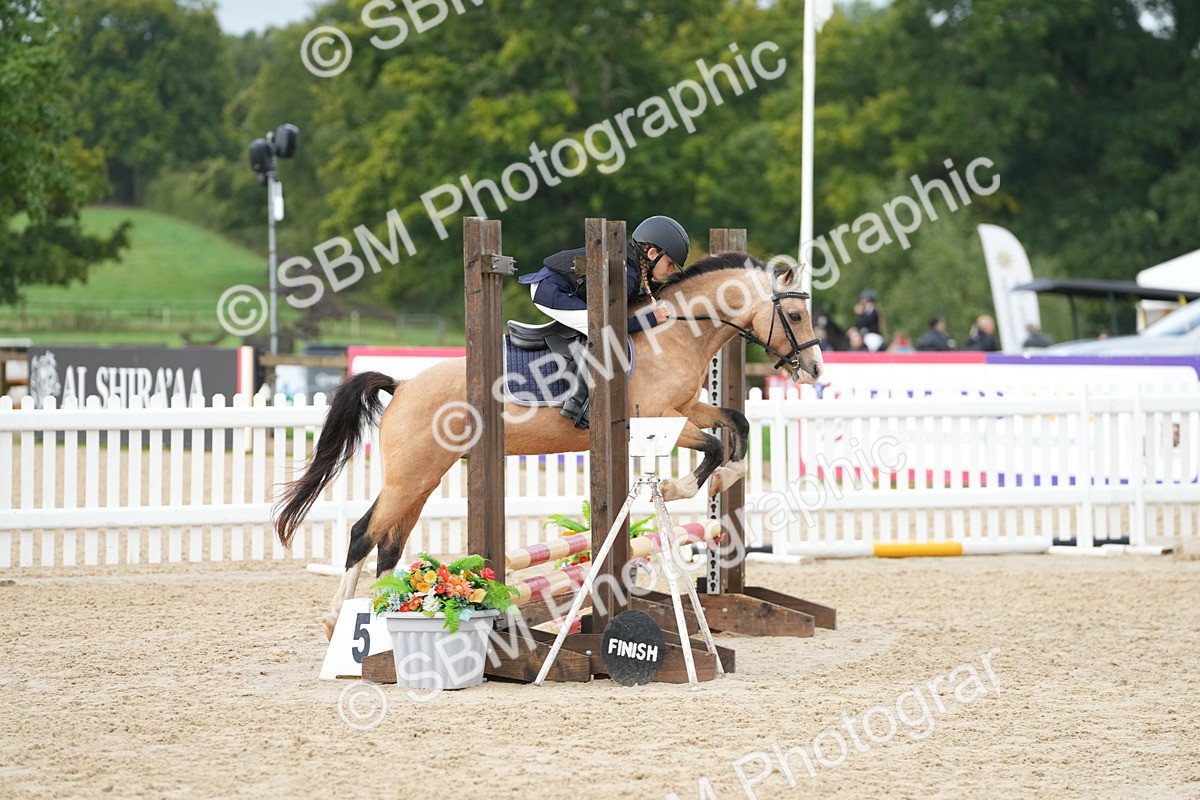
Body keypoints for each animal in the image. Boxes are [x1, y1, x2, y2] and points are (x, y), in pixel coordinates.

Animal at [273, 252, 824, 637]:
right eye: (796, 316)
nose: (816, 370)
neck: (674, 333)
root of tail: (402, 384)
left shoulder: (686, 410)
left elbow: (735, 426)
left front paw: (721, 480)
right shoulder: (655, 419)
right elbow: (713, 445)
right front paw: (675, 487)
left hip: (425, 477)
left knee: (388, 546)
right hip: (411, 476)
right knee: (362, 534)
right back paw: (337, 622)